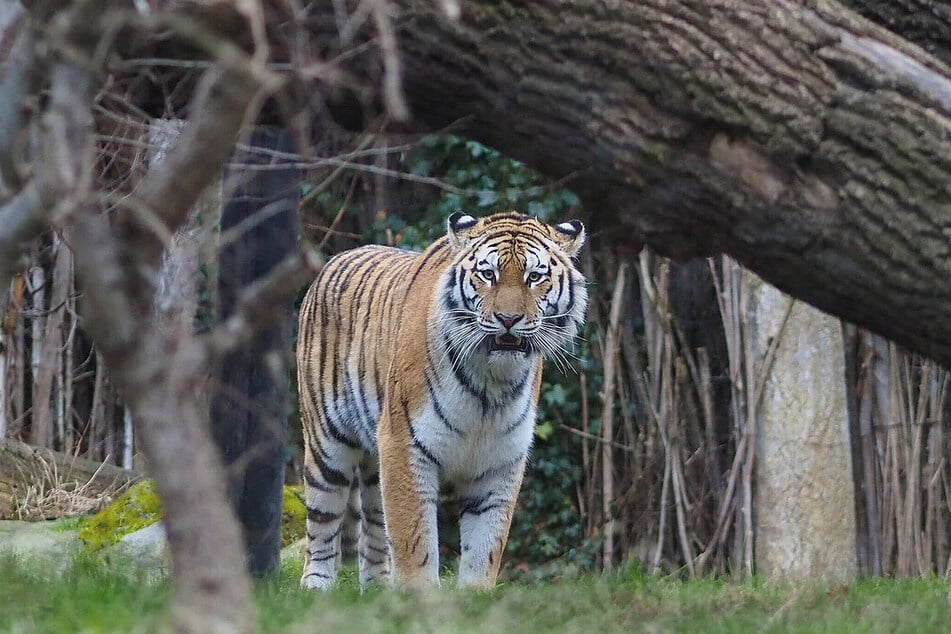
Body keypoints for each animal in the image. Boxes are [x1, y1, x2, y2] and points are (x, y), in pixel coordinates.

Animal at [298, 211, 588, 588]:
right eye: (488, 274)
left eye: (534, 277)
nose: (508, 320)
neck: (491, 382)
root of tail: (335, 259)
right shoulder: (404, 444)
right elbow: (414, 538)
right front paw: (419, 597)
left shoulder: (500, 460)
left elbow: (485, 544)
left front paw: (474, 595)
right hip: (327, 447)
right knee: (322, 524)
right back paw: (315, 587)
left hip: (375, 464)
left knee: (373, 529)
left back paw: (377, 590)